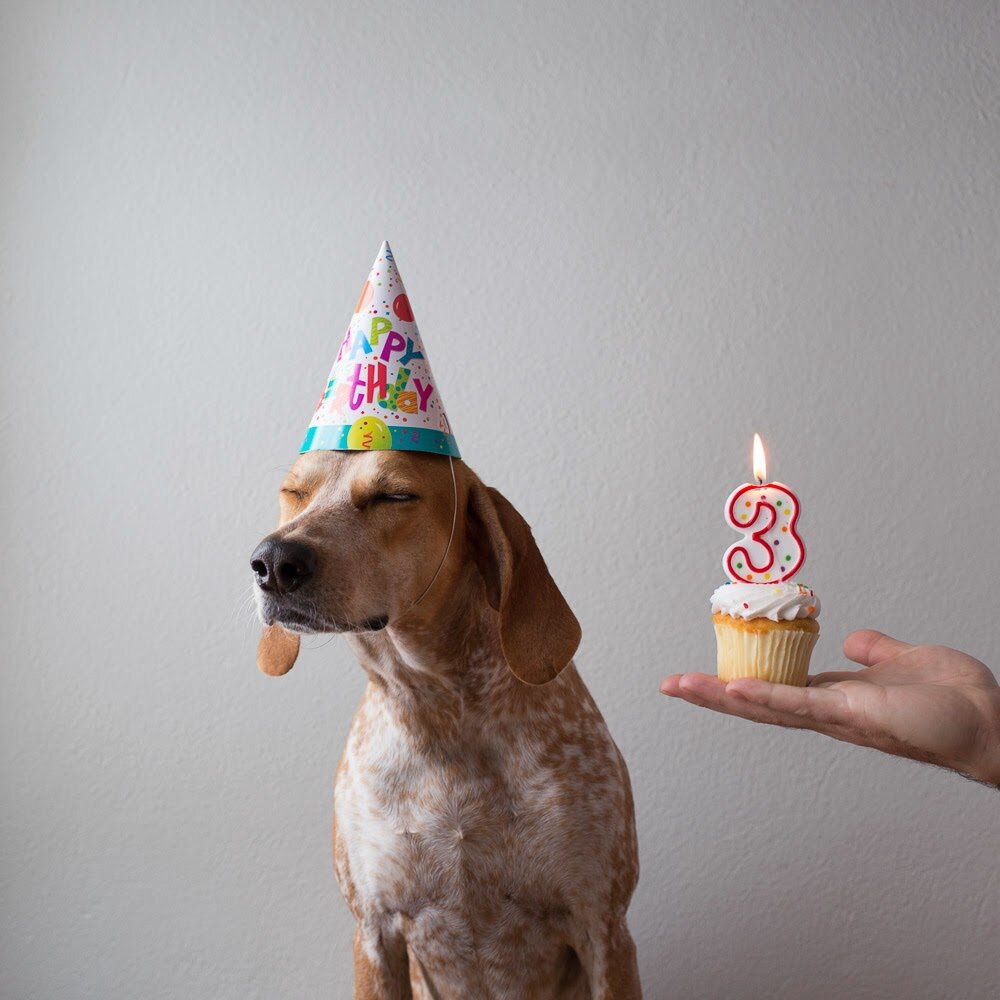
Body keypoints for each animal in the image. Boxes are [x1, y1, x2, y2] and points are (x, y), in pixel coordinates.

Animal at [250, 450, 640, 996]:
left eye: (394, 495)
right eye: (295, 493)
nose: (274, 562)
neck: (435, 710)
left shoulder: (604, 927)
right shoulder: (374, 933)